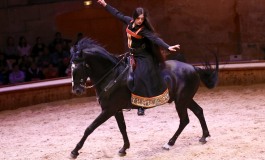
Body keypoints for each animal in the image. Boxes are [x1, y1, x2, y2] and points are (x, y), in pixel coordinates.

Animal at [69, 37, 218, 159]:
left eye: (78, 68)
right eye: (71, 68)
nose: (77, 90)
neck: (112, 75)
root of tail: (193, 68)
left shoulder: (108, 110)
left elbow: (89, 128)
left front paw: (74, 151)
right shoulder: (116, 110)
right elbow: (122, 128)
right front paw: (124, 149)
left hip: (181, 101)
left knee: (184, 120)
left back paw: (169, 143)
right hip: (185, 99)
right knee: (198, 111)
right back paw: (204, 136)